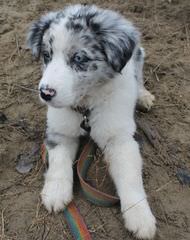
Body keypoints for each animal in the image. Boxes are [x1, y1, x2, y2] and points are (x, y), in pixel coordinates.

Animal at [27, 4, 156, 239]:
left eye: (79, 59)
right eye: (47, 55)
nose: (45, 93)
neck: (86, 106)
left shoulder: (120, 138)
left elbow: (130, 177)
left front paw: (140, 217)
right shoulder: (59, 131)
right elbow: (58, 162)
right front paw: (55, 192)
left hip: (139, 55)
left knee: (139, 76)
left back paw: (142, 96)